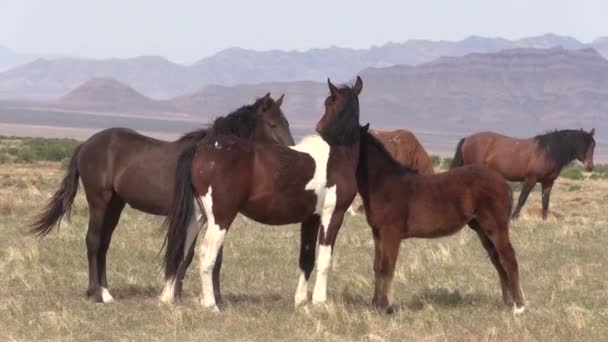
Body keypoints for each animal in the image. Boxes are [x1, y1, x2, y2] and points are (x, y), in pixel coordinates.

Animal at [29, 92, 294, 304]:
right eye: (272, 124)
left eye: (286, 122)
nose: (291, 152)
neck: (211, 156)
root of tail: (86, 144)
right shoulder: (203, 214)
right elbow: (194, 255)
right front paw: (190, 296)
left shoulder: (208, 216)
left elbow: (200, 256)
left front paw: (191, 296)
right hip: (100, 202)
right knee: (93, 241)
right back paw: (98, 294)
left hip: (116, 204)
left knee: (104, 243)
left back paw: (104, 290)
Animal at [160, 76, 366, 312]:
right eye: (328, 103)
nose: (321, 128)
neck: (337, 155)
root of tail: (200, 149)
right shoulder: (333, 215)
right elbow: (324, 260)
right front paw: (320, 302)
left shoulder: (311, 219)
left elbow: (306, 258)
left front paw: (301, 301)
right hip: (220, 218)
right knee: (206, 255)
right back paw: (211, 305)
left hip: (197, 216)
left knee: (180, 251)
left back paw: (167, 298)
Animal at [358, 126, 524, 316]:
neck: (385, 184)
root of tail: (504, 183)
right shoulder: (377, 233)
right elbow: (377, 267)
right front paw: (374, 306)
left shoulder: (391, 233)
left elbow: (387, 267)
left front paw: (385, 306)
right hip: (482, 229)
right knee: (497, 260)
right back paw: (507, 303)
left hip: (496, 227)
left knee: (509, 258)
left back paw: (519, 306)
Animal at [448, 128, 596, 219]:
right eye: (582, 144)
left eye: (593, 145)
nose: (590, 166)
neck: (548, 151)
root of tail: (467, 139)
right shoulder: (531, 179)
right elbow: (522, 198)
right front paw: (513, 218)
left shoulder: (548, 182)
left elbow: (545, 202)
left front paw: (544, 220)